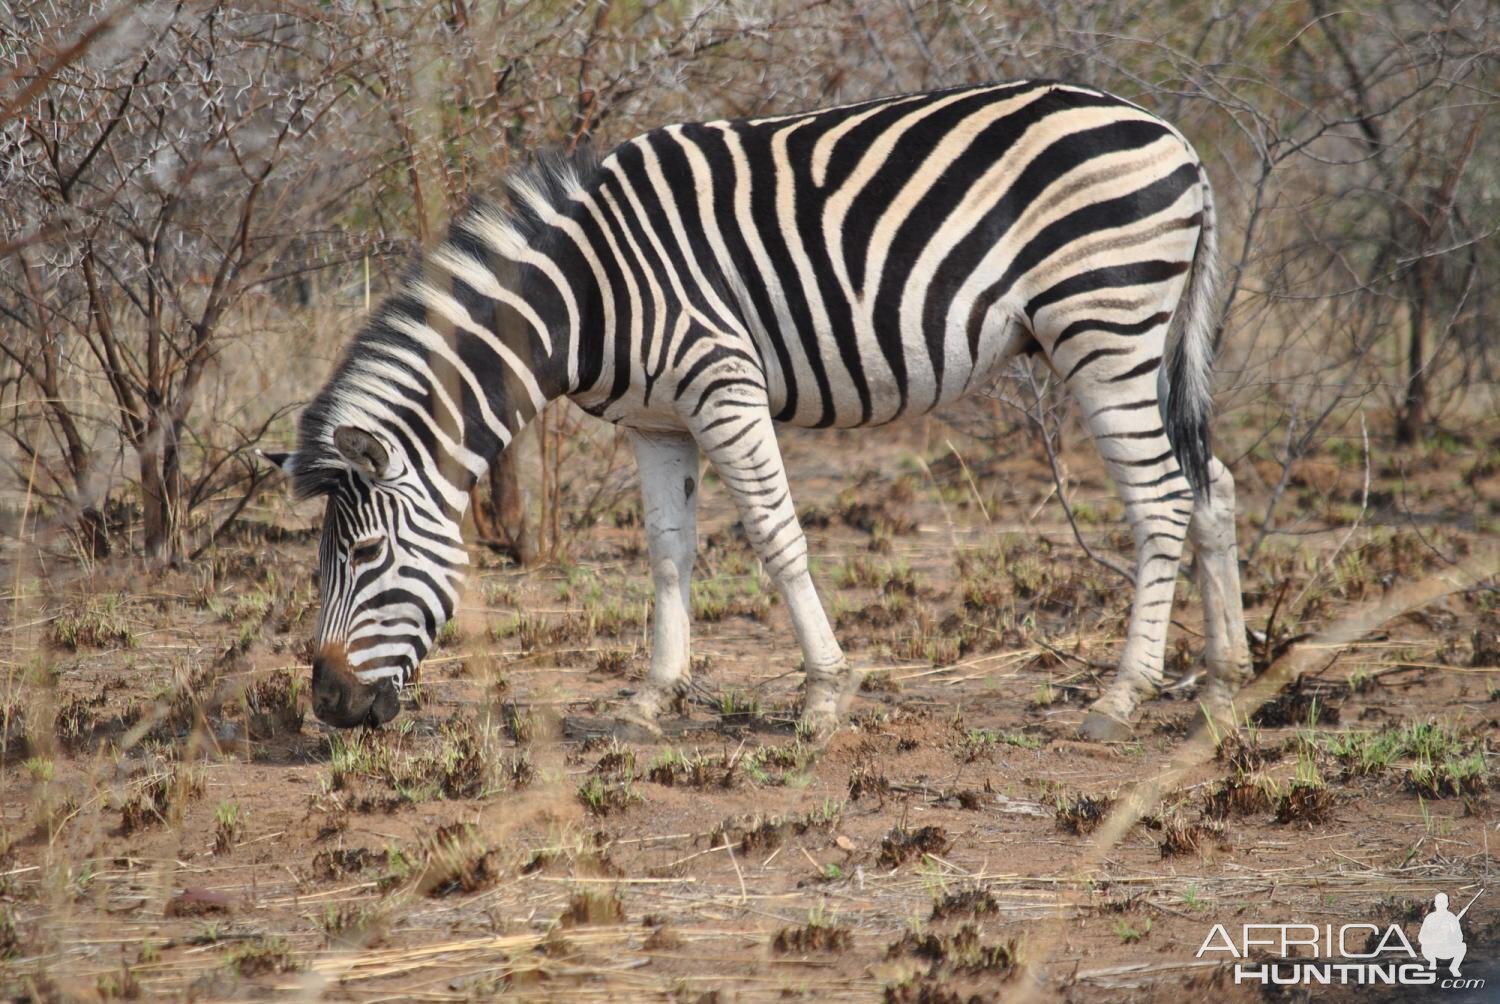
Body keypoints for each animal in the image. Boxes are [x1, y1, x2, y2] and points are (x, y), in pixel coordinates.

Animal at [267, 80, 1254, 735]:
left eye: (363, 554)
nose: (329, 705)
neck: (586, 295)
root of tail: (1175, 139)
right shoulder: (657, 422)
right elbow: (668, 552)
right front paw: (651, 698)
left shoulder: (723, 381)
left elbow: (776, 536)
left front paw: (824, 693)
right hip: (1143, 336)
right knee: (1212, 485)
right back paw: (1221, 683)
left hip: (1104, 325)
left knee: (1163, 500)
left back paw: (1123, 696)